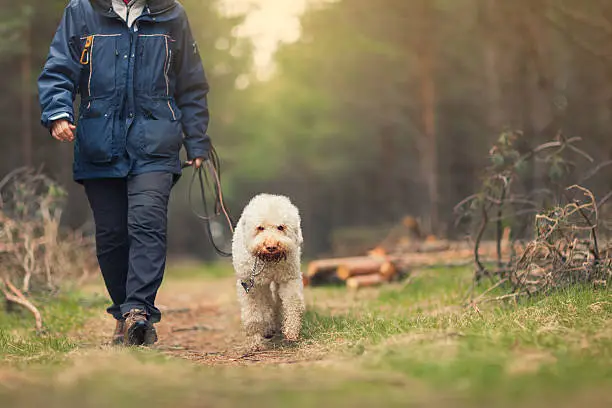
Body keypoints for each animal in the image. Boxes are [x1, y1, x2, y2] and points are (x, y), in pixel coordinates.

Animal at [231, 193, 304, 350]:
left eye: (281, 227)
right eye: (260, 228)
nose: (271, 246)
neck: (269, 261)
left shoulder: (288, 279)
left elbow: (292, 303)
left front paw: (291, 330)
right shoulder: (250, 286)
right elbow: (253, 314)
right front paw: (255, 341)